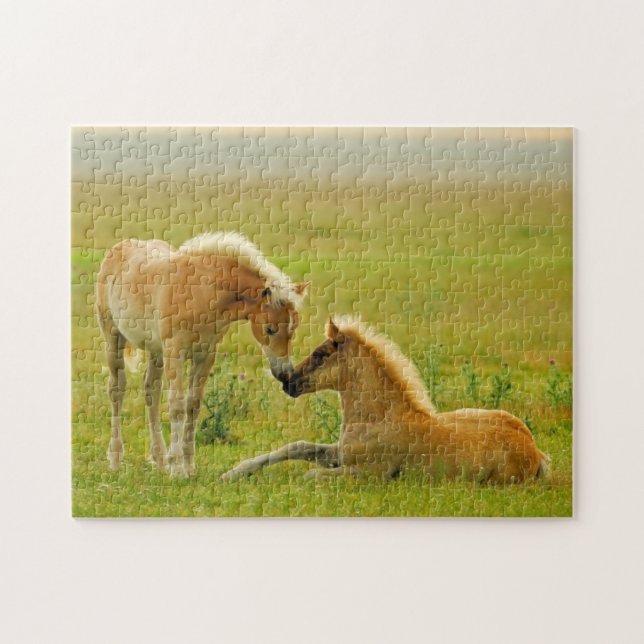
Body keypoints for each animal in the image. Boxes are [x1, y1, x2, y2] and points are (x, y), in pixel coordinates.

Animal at [96, 231, 309, 477]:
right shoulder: (175, 352)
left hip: (156, 351)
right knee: (117, 389)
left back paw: (159, 459)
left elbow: (193, 405)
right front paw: (177, 468)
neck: (203, 292)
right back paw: (116, 459)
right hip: (113, 337)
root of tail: (119, 248)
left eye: (293, 328)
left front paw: (188, 466)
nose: (285, 373)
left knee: (151, 391)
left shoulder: (205, 354)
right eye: (270, 329)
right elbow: (177, 406)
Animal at [222, 316, 550, 484]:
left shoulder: (372, 472)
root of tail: (535, 451)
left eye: (321, 354)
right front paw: (232, 473)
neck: (379, 417)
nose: (288, 382)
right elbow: (297, 447)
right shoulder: (340, 453)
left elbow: (311, 475)